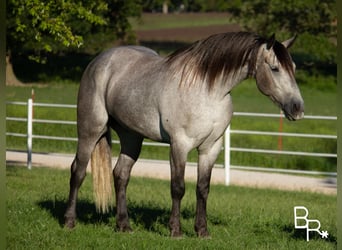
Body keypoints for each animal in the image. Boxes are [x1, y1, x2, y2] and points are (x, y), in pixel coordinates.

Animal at [64, 32, 304, 237]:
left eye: (293, 67)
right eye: (275, 68)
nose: (298, 108)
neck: (208, 91)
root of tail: (100, 61)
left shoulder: (211, 148)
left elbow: (203, 188)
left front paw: (202, 231)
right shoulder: (180, 145)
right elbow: (178, 187)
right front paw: (176, 231)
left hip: (132, 137)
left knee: (121, 175)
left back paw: (124, 225)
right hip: (90, 130)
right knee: (78, 171)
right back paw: (69, 221)